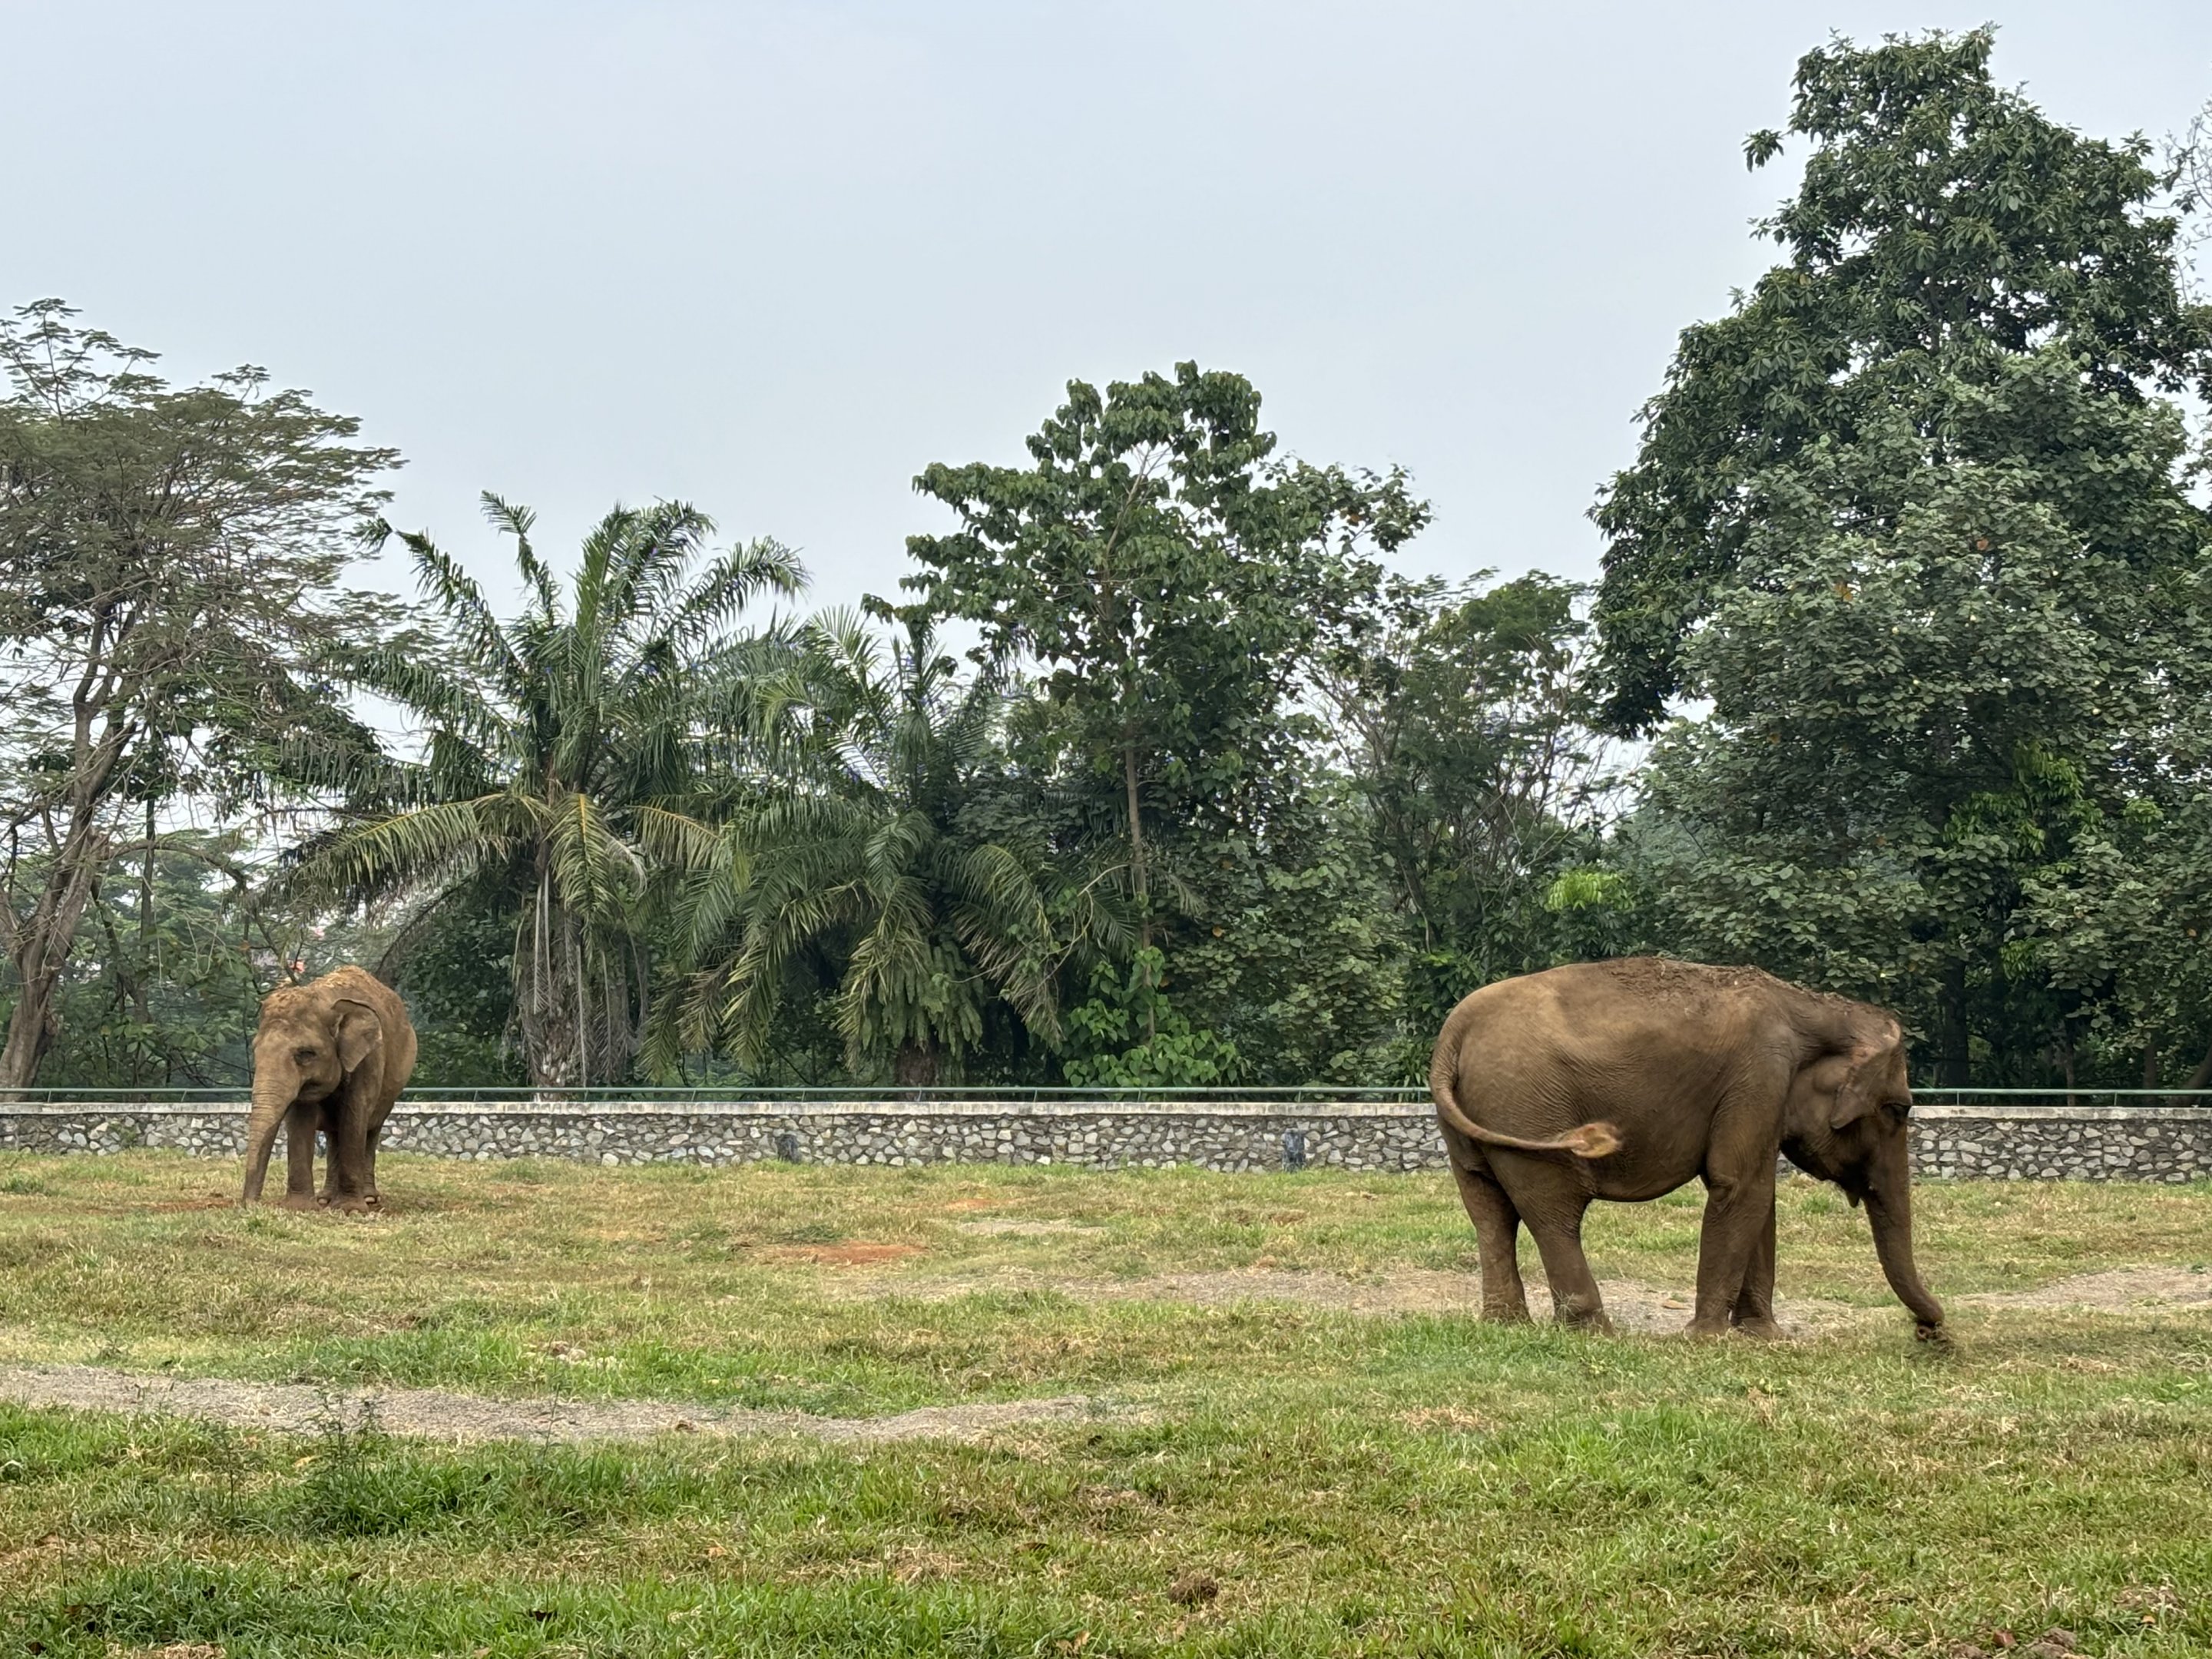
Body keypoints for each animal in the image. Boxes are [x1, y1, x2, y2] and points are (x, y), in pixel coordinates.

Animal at [240, 965, 418, 1212]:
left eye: (306, 1054)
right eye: (255, 1050)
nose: (250, 1205)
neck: (325, 997)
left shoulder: (369, 1058)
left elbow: (354, 1116)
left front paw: (350, 1210)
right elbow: (301, 1120)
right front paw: (300, 1208)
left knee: (371, 1129)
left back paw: (368, 1199)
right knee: (334, 1133)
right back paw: (325, 1199)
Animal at [1429, 957, 1944, 1339]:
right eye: (1899, 1110)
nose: (1930, 1331)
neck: (1814, 1007)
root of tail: (1451, 1037)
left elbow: (1759, 1197)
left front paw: (1764, 1337)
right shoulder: (1760, 1074)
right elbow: (1740, 1185)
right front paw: (1706, 1338)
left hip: (1476, 1125)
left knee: (1489, 1208)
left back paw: (1507, 1325)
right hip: (1527, 1108)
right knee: (1554, 1211)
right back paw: (1597, 1332)